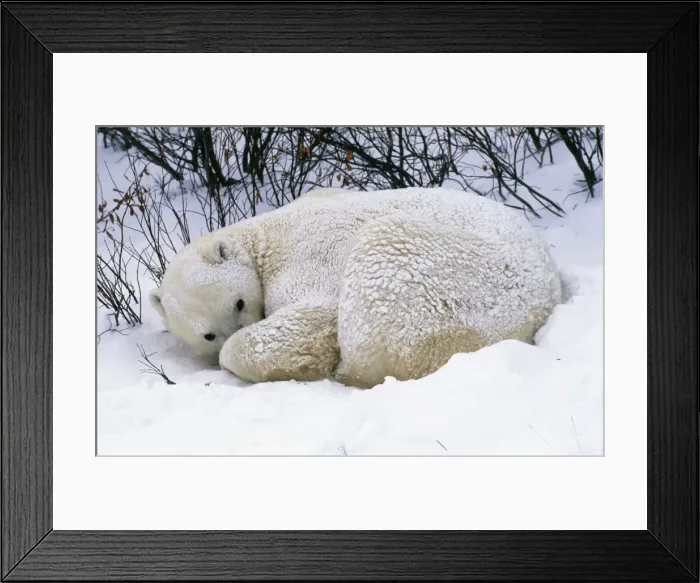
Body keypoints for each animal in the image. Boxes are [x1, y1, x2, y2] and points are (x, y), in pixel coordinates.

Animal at [150, 187, 562, 388]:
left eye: (238, 303)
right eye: (207, 334)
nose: (252, 319)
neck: (264, 237)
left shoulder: (307, 256)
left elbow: (312, 320)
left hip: (461, 282)